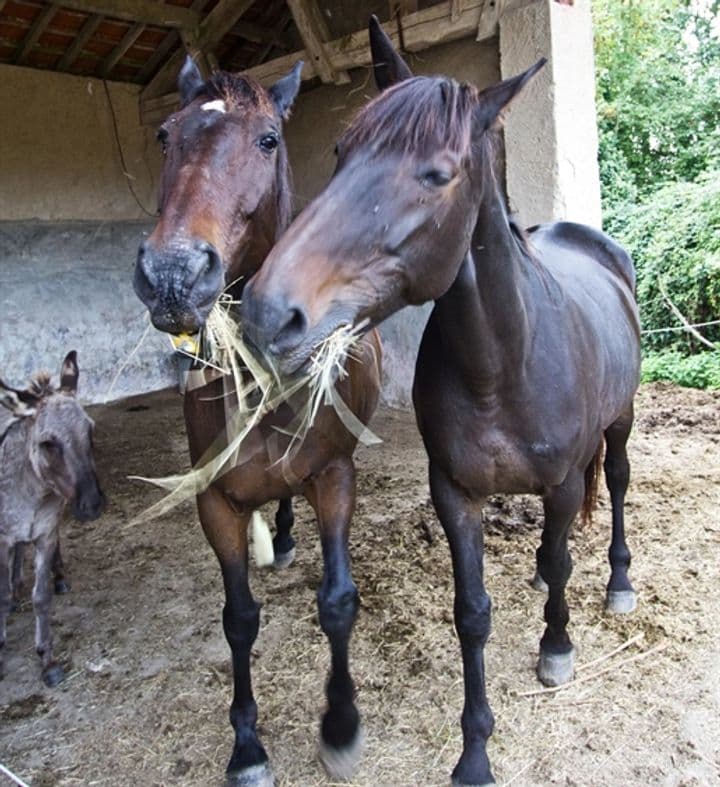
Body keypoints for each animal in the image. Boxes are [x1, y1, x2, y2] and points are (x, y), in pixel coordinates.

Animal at [133, 58, 386, 784]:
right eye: (164, 135)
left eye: (269, 140)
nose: (172, 276)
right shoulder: (215, 500)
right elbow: (239, 618)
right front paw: (246, 745)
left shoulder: (334, 475)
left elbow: (337, 601)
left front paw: (341, 723)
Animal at [242, 20, 640, 787]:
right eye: (340, 152)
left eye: (438, 174)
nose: (269, 312)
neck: (503, 365)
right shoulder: (454, 493)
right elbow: (472, 613)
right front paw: (475, 751)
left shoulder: (560, 482)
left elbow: (563, 563)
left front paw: (556, 647)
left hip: (622, 424)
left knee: (615, 484)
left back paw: (619, 581)